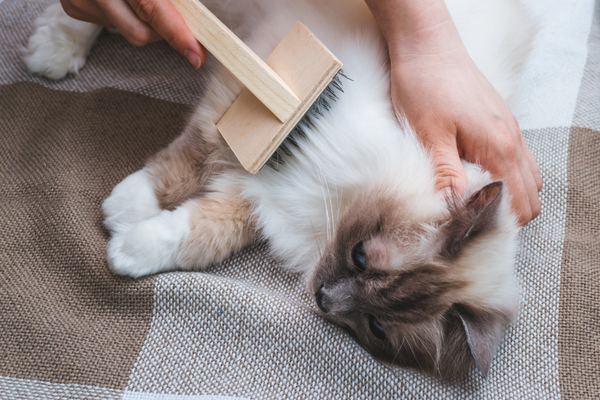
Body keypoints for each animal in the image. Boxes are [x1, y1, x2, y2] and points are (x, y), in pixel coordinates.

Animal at [24, 0, 536, 378]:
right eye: (361, 256)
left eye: (375, 326)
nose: (324, 298)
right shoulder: (243, 103)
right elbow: (182, 164)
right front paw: (124, 208)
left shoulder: (265, 198)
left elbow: (199, 233)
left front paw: (129, 248)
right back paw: (53, 50)